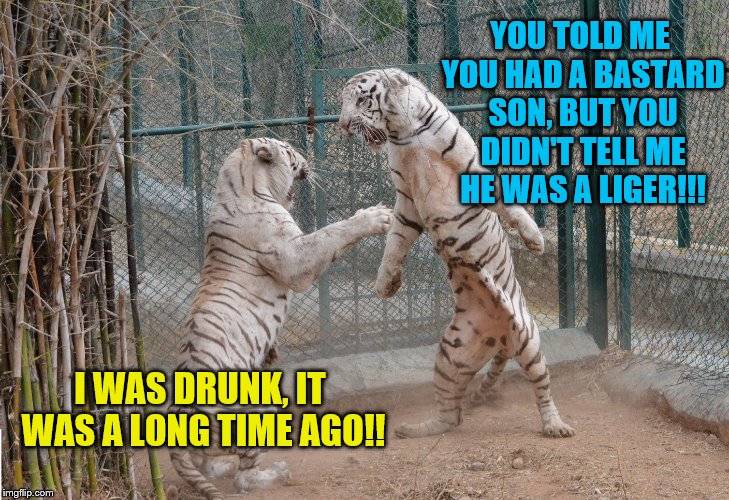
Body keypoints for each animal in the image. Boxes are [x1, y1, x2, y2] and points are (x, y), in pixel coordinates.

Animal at [169, 137, 393, 499]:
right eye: (289, 150)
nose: (306, 158)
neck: (240, 185)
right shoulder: (293, 257)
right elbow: (330, 233)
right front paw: (375, 216)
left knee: (205, 463)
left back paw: (223, 466)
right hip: (252, 410)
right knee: (243, 479)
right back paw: (276, 473)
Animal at [338, 68, 575, 439]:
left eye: (361, 100)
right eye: (342, 102)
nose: (344, 125)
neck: (401, 132)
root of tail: (501, 338)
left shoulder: (472, 169)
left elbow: (510, 205)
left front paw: (535, 239)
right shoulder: (406, 200)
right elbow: (394, 242)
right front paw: (385, 284)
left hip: (530, 341)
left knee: (542, 388)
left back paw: (555, 425)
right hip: (450, 355)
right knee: (451, 416)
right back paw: (412, 429)